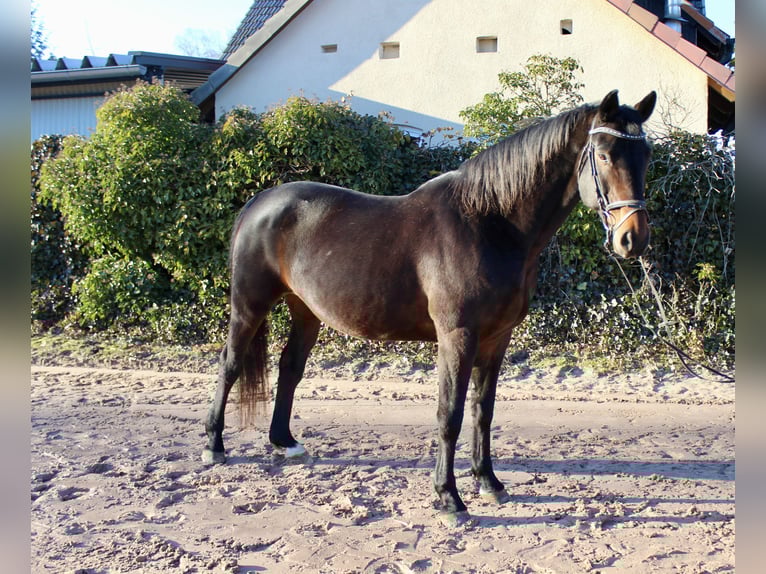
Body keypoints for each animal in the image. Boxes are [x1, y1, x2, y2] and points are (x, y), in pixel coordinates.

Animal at [202, 89, 657, 525]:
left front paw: (488, 482)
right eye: (603, 154)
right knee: (230, 363)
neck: (489, 221)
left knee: (290, 366)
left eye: (645, 156)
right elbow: (449, 414)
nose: (632, 239)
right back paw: (214, 445)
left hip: (305, 311)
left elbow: (483, 410)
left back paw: (285, 442)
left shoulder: (497, 338)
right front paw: (448, 498)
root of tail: (260, 202)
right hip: (249, 304)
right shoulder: (457, 336)